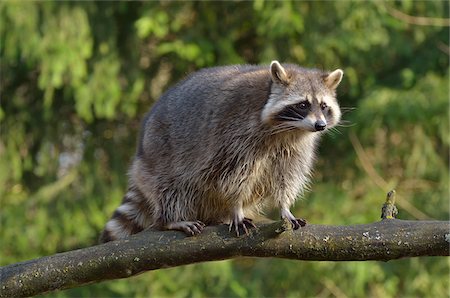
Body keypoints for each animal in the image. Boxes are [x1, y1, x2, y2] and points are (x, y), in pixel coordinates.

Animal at [99, 60, 344, 242]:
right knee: (171, 187)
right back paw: (169, 219)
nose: (320, 125)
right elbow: (232, 177)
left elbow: (286, 177)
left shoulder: (295, 148)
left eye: (324, 106)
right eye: (303, 104)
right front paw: (236, 207)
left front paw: (284, 208)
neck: (287, 130)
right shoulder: (233, 134)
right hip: (160, 152)